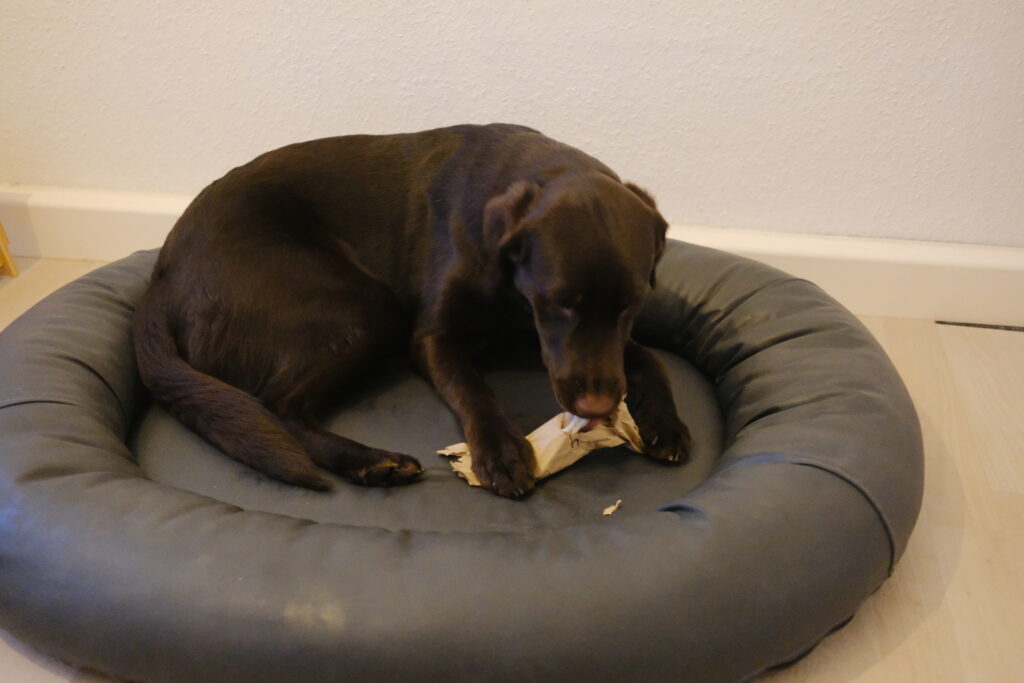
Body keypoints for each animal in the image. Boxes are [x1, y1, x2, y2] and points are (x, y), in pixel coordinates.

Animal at [134, 123, 690, 498]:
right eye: (559, 303)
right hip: (365, 308)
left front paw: (667, 423)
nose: (597, 409)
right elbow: (473, 389)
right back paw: (372, 462)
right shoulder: (431, 337)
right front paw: (503, 450)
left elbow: (649, 359)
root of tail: (160, 281)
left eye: (632, 304)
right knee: (276, 405)